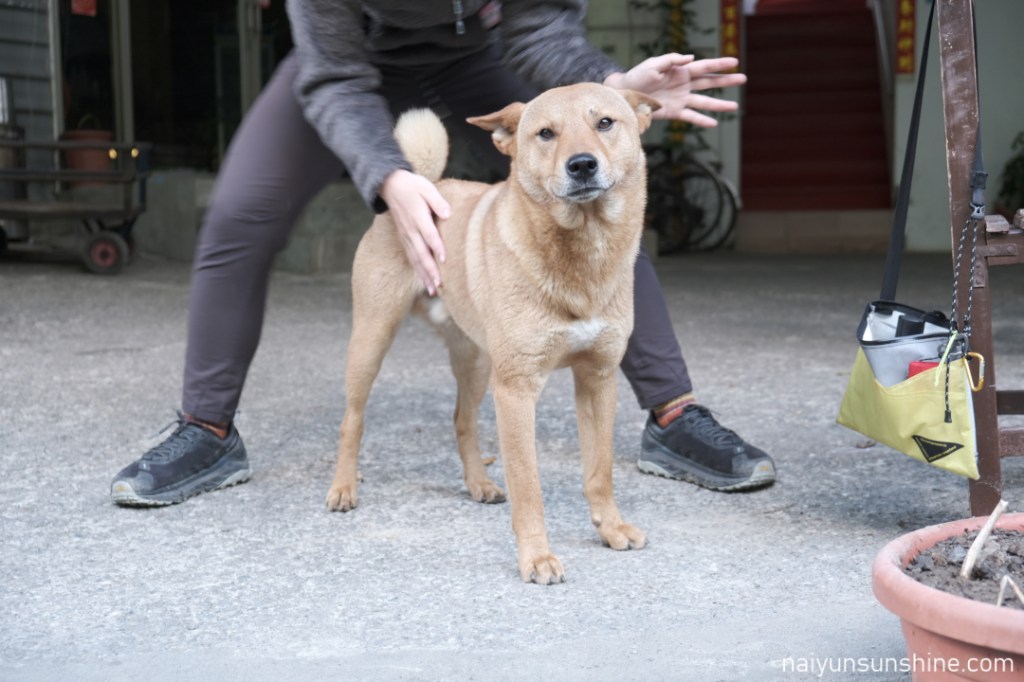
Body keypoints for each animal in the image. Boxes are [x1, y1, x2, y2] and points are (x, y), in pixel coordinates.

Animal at [326, 82, 660, 584]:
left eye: (605, 122)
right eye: (546, 133)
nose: (582, 164)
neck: (582, 255)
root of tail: (425, 186)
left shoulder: (597, 380)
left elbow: (599, 471)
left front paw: (611, 527)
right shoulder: (517, 391)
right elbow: (528, 485)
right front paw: (537, 555)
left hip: (477, 361)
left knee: (462, 421)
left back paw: (479, 483)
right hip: (372, 340)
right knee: (353, 419)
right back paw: (344, 486)